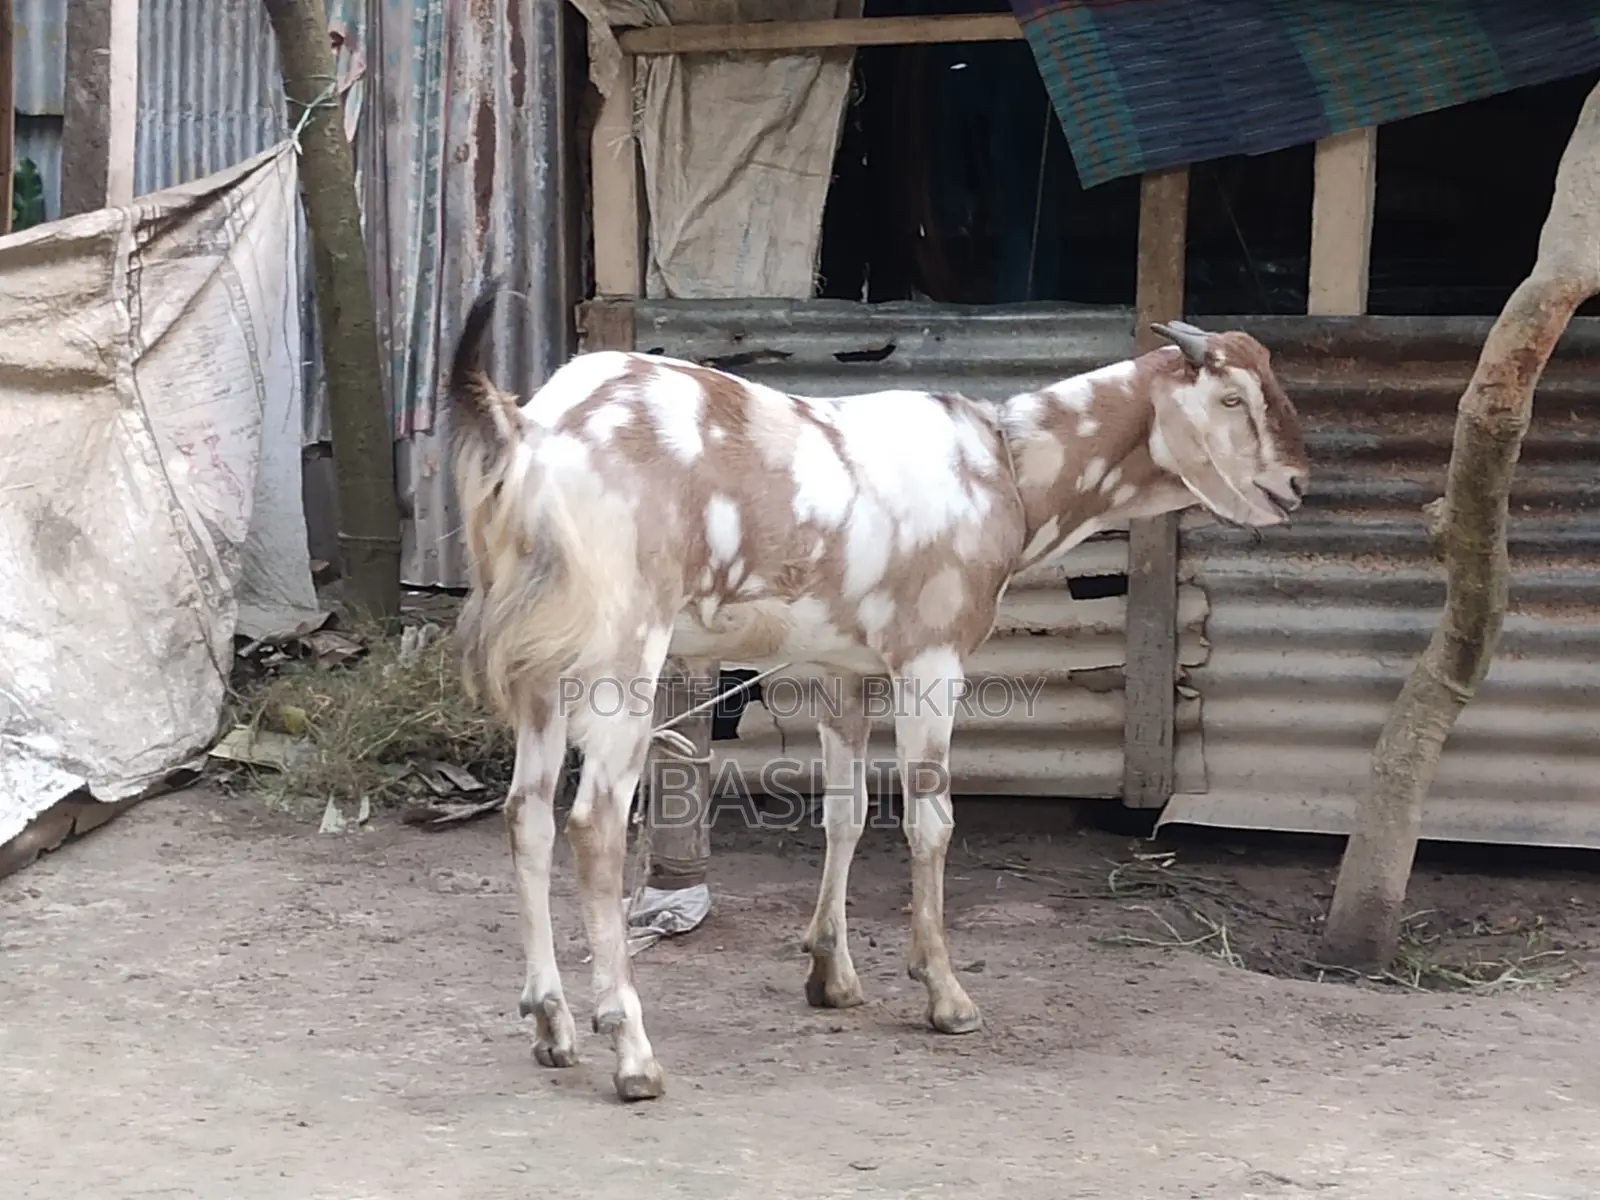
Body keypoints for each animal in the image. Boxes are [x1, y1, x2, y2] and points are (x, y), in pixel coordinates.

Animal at [447, 281, 1310, 1102]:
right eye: (1232, 399)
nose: (1297, 484)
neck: (1007, 466)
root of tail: (530, 432)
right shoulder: (931, 659)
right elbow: (931, 821)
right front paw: (946, 994)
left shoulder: (845, 670)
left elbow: (848, 813)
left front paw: (831, 974)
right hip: (623, 647)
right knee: (593, 825)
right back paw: (631, 1054)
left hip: (541, 662)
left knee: (526, 814)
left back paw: (552, 1026)